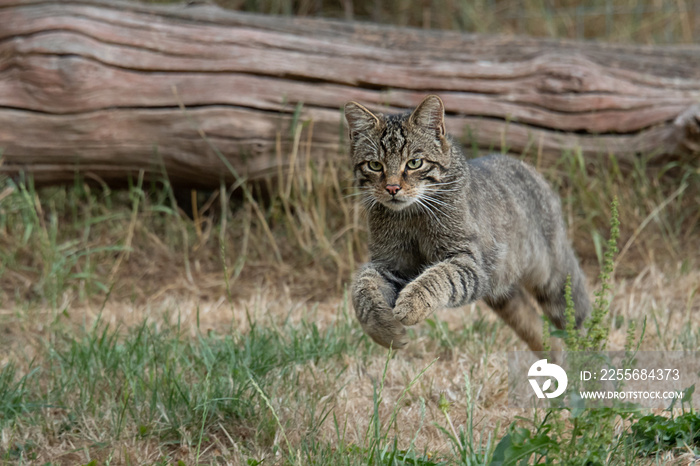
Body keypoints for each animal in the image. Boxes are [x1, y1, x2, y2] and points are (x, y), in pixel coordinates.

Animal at [344, 94, 592, 352]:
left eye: (414, 163)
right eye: (375, 165)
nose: (392, 188)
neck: (410, 216)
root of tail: (526, 166)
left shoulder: (468, 261)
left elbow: (437, 276)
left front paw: (412, 304)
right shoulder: (391, 264)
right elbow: (362, 288)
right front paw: (383, 330)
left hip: (555, 279)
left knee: (580, 323)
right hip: (504, 295)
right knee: (540, 332)